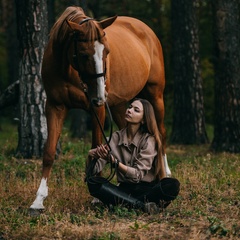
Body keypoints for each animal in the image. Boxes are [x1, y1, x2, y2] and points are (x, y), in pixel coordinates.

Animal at [29, 6, 171, 210]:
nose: (100, 95)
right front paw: (38, 200)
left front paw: (96, 195)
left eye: (107, 51)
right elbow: (49, 151)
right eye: (83, 54)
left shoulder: (97, 109)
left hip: (155, 95)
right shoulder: (55, 106)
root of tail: (146, 29)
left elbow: (96, 146)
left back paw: (165, 173)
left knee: (160, 133)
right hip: (120, 106)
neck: (67, 69)